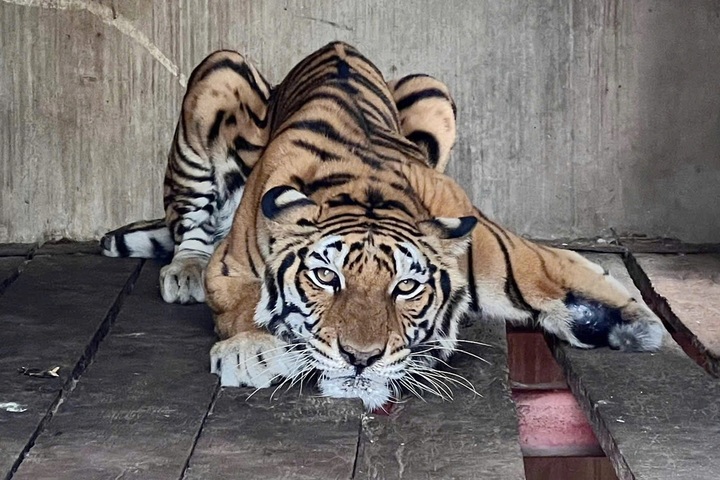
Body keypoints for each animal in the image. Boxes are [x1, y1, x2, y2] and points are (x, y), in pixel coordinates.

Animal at [103, 42, 665, 410]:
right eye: (325, 277)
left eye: (407, 287)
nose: (361, 359)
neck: (366, 191)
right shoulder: (231, 271)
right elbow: (246, 305)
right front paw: (251, 350)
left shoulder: (485, 239)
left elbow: (554, 272)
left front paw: (637, 325)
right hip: (216, 75)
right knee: (190, 219)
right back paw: (184, 271)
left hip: (432, 89)